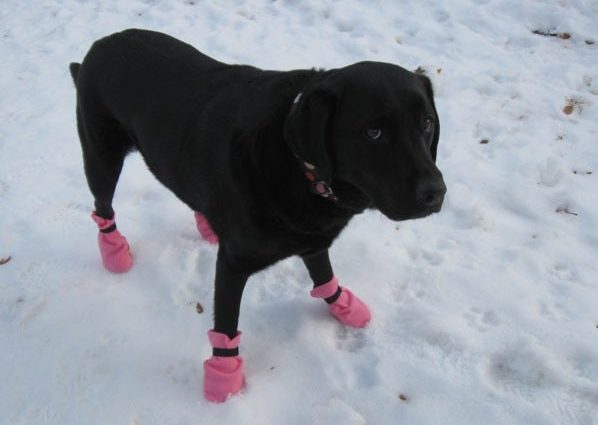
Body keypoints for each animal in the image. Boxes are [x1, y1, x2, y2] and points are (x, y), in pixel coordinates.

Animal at [69, 29, 446, 400]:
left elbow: (323, 274)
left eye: (427, 122)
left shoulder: (312, 237)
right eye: (373, 132)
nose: (435, 192)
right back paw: (114, 252)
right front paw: (224, 376)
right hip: (101, 157)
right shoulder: (233, 264)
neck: (300, 166)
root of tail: (100, 44)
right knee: (102, 207)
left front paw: (342, 304)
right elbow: (226, 325)